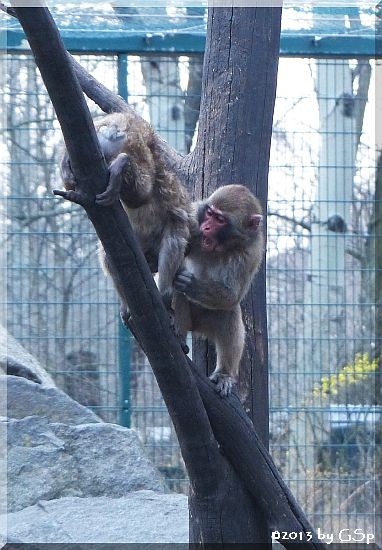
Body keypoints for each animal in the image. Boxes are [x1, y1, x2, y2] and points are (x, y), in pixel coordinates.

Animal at [62, 112, 191, 314]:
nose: (152, 266)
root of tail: (124, 121)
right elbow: (174, 231)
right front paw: (166, 291)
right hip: (136, 146)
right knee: (143, 192)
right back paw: (122, 165)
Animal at [175, 185, 264, 396]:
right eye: (209, 214)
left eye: (220, 219)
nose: (206, 227)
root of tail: (194, 327)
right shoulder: (193, 220)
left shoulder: (250, 253)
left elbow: (231, 297)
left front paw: (189, 284)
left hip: (204, 320)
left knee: (228, 312)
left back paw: (224, 374)